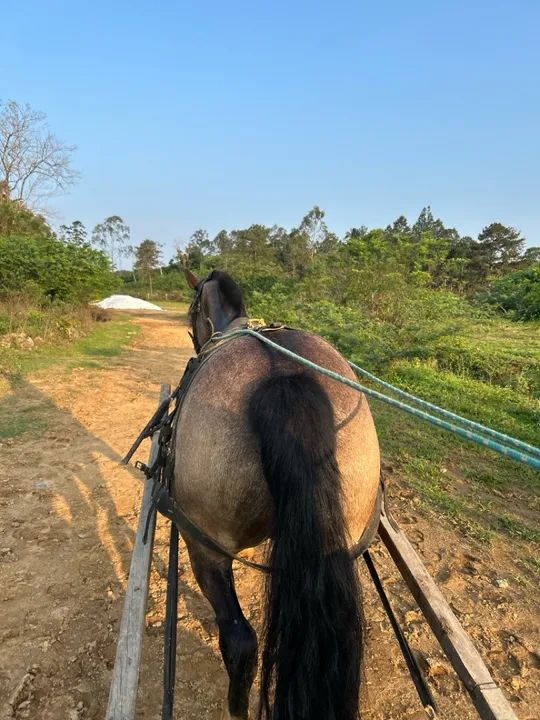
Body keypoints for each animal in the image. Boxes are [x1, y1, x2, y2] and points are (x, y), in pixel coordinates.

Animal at [172, 269, 381, 720]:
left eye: (191, 309)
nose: (194, 339)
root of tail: (284, 376)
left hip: (204, 544)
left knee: (240, 642)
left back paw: (236, 706)